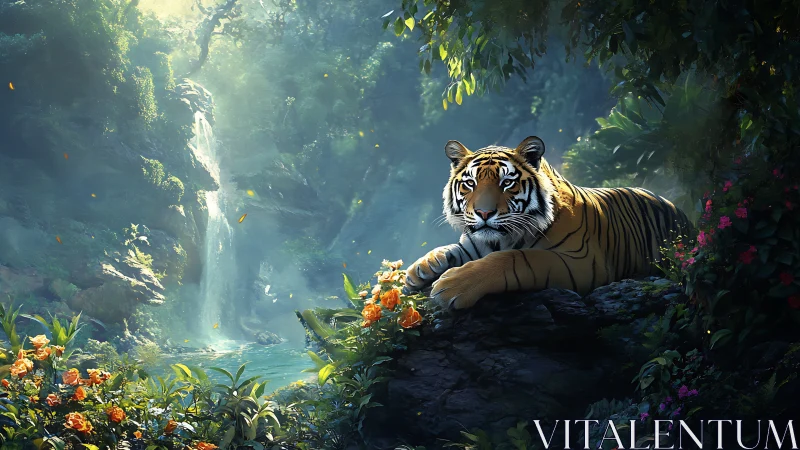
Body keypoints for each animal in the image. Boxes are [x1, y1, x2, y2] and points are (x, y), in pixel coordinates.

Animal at [403, 136, 693, 310]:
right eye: (470, 184)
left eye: (506, 182)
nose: (484, 213)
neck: (500, 239)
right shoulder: (474, 243)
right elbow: (451, 249)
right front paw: (419, 270)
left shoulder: (582, 262)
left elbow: (516, 258)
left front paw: (452, 284)